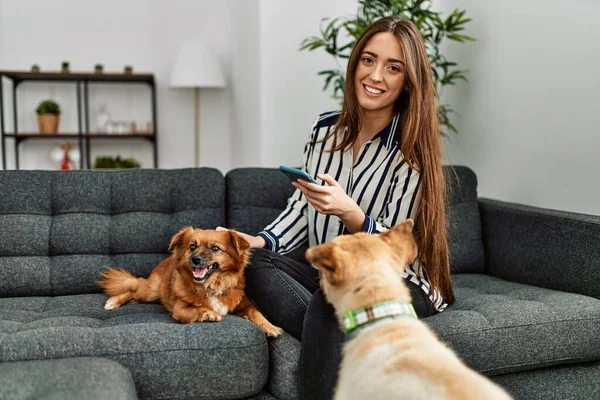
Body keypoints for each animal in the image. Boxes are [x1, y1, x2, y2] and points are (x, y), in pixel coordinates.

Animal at [98, 227, 282, 336]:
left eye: (215, 248)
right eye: (192, 247)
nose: (195, 259)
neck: (211, 286)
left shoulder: (244, 304)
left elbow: (256, 313)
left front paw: (270, 327)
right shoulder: (179, 310)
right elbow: (196, 309)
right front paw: (209, 314)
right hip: (150, 291)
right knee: (133, 289)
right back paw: (113, 302)